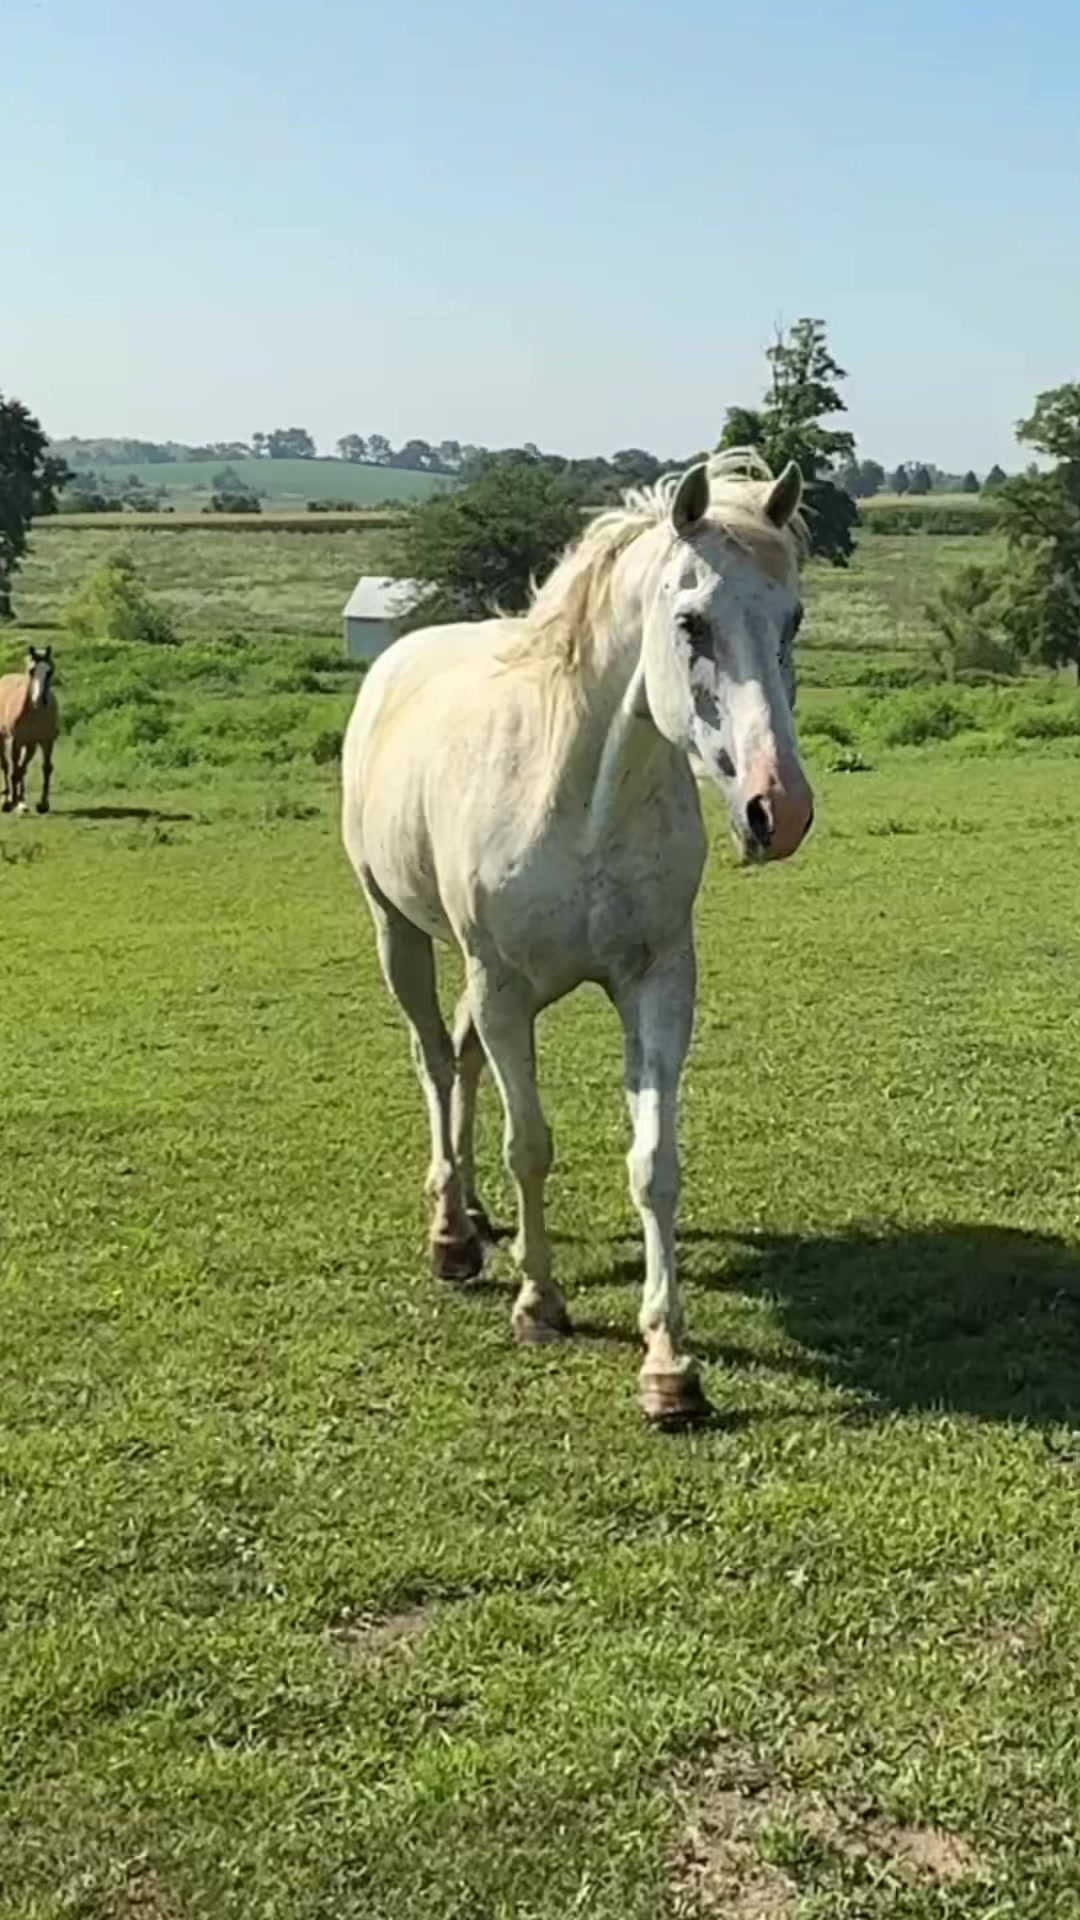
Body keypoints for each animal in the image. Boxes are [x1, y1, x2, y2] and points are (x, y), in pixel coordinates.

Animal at [0, 646, 59, 815]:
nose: (38, 701)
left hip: (30, 745)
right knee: (6, 766)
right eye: (32, 671)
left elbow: (46, 768)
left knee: (22, 768)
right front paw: (11, 802)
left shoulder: (47, 741)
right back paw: (7, 801)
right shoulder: (15, 741)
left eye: (50, 671)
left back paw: (22, 803)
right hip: (5, 739)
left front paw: (43, 804)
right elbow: (13, 771)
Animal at [341, 450, 814, 1425]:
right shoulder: (504, 987)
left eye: (792, 618)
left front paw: (669, 1363)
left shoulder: (659, 981)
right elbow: (531, 1145)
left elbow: (654, 1161)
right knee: (433, 1063)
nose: (777, 809)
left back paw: (477, 1221)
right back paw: (452, 1231)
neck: (581, 793)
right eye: (692, 622)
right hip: (398, 932)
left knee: (460, 1059)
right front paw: (539, 1303)